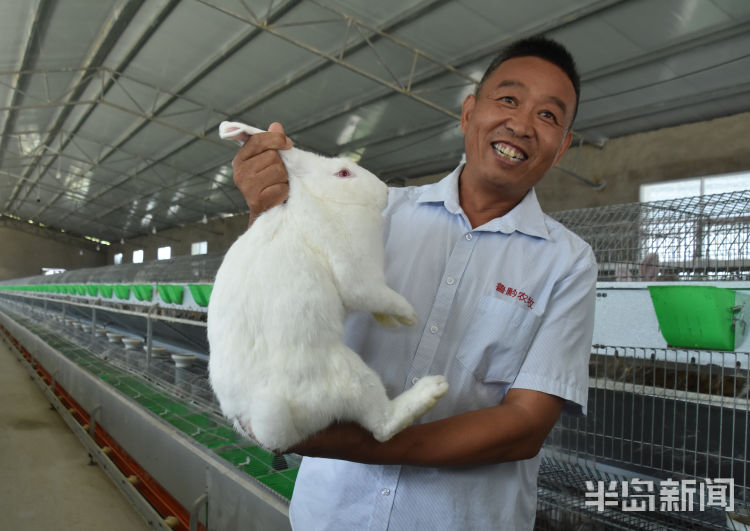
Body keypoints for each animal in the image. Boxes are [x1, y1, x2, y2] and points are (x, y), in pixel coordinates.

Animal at [206, 121, 450, 454]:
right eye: (344, 173)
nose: (385, 191)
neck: (319, 199)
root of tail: (273, 431)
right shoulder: (358, 272)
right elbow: (374, 294)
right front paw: (409, 316)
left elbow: (376, 305)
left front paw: (390, 322)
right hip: (354, 378)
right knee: (382, 425)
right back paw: (432, 389)